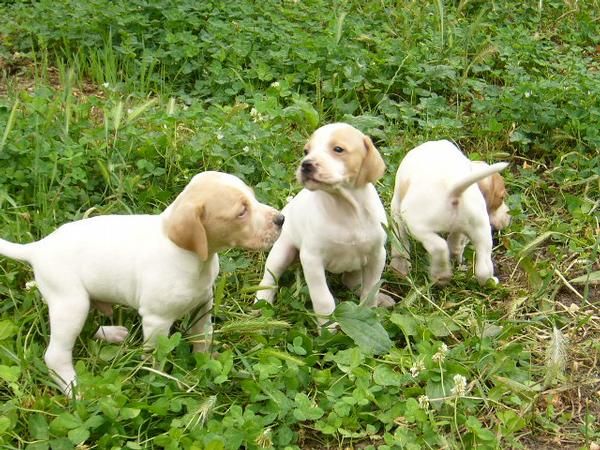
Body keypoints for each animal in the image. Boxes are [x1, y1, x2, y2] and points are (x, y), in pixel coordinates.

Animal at [0, 172, 284, 394]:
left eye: (253, 197)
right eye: (241, 212)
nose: (281, 219)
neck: (190, 256)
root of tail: (38, 248)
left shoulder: (203, 303)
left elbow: (202, 336)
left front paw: (207, 362)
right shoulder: (156, 321)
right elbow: (156, 358)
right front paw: (159, 381)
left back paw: (113, 334)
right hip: (71, 303)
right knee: (56, 354)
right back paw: (75, 390)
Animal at [256, 123, 394, 326]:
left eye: (338, 149)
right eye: (306, 151)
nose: (306, 164)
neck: (345, 208)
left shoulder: (377, 255)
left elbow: (371, 290)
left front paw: (370, 312)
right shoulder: (311, 259)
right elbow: (323, 299)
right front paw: (328, 327)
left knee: (353, 282)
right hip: (282, 252)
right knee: (269, 278)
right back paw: (262, 301)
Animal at [390, 140, 510, 284]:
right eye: (501, 198)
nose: (508, 216)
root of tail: (453, 191)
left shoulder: (396, 208)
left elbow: (400, 241)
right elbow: (456, 242)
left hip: (418, 226)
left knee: (439, 247)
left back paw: (440, 275)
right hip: (481, 232)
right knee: (482, 269)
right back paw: (489, 281)